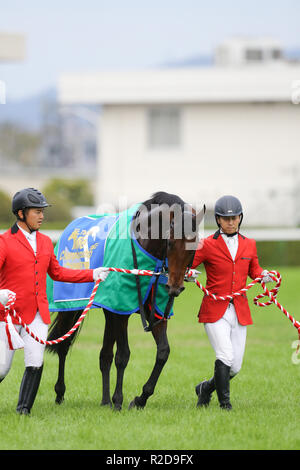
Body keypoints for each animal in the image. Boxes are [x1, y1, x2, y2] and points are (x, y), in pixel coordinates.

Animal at [47, 193, 205, 410]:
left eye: (194, 246)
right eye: (170, 242)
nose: (175, 287)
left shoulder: (153, 310)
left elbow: (163, 352)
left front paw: (140, 398)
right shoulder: (121, 309)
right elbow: (123, 355)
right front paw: (118, 400)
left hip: (108, 310)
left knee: (104, 355)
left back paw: (104, 401)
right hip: (72, 305)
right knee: (64, 343)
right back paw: (60, 392)